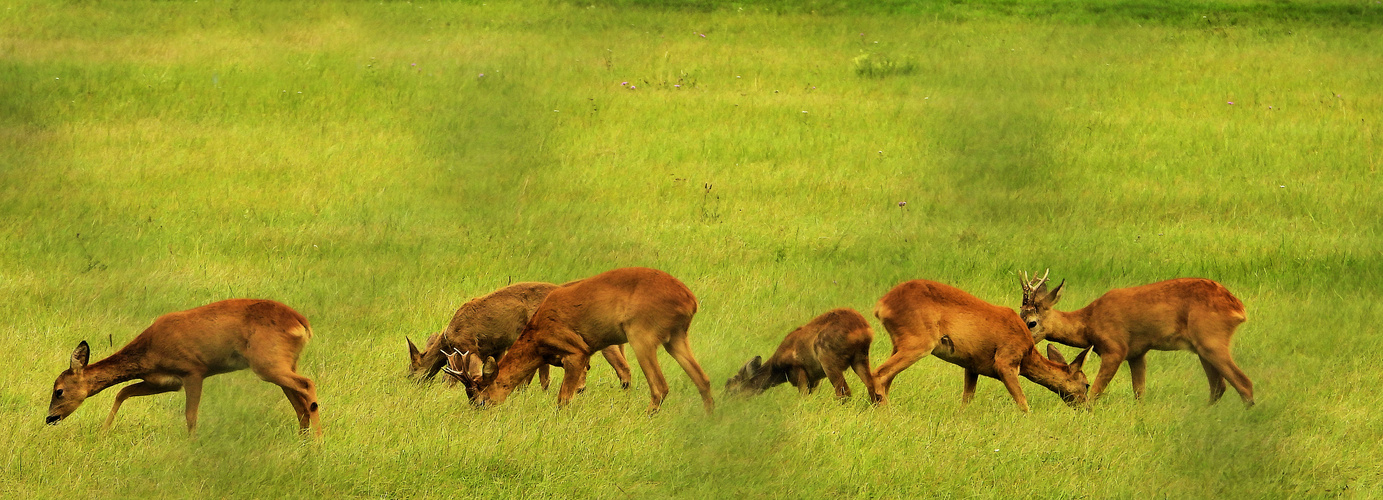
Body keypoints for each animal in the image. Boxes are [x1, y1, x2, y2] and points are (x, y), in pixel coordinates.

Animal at [403, 281, 633, 389]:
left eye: (412, 368)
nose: (410, 381)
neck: (447, 338)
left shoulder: (467, 347)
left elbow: (453, 376)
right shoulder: (495, 349)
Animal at [719, 308, 879, 403]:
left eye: (731, 389)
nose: (724, 403)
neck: (778, 371)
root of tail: (864, 330)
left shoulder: (797, 368)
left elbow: (803, 396)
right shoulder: (814, 378)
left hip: (828, 358)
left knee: (844, 392)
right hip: (860, 357)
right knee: (872, 387)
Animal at [874, 279, 1089, 411]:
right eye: (1086, 384)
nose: (1087, 407)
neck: (1027, 354)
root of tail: (881, 305)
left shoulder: (972, 365)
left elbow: (966, 400)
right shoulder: (1005, 362)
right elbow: (1023, 403)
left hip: (899, 343)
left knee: (886, 378)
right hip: (918, 341)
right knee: (880, 373)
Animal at [1017, 269, 1255, 406]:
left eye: (1032, 322)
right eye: (1019, 315)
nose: (1022, 339)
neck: (1089, 322)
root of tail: (1238, 307)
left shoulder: (1115, 348)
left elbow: (1095, 390)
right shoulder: (1137, 353)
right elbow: (1139, 392)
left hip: (1211, 339)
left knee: (1244, 383)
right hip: (1202, 347)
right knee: (1218, 387)